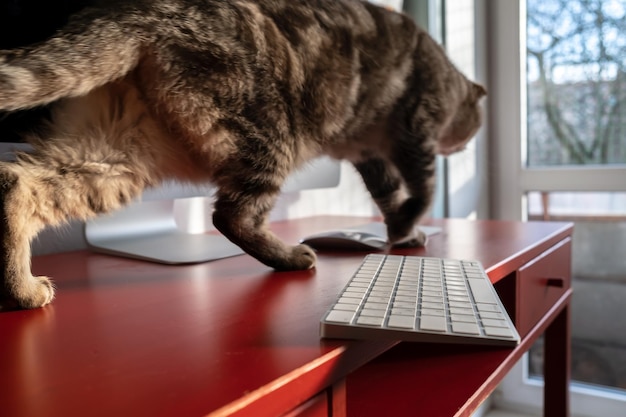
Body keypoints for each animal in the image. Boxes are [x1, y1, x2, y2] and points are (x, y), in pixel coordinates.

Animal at [0, 0, 482, 308]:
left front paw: (402, 233)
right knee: (231, 216)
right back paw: (292, 257)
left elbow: (389, 197)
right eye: (475, 125)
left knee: (18, 184)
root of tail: (127, 12)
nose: (468, 141)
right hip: (268, 136)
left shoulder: (371, 156)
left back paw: (22, 291)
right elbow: (421, 191)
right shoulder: (415, 134)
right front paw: (408, 227)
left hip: (114, 155)